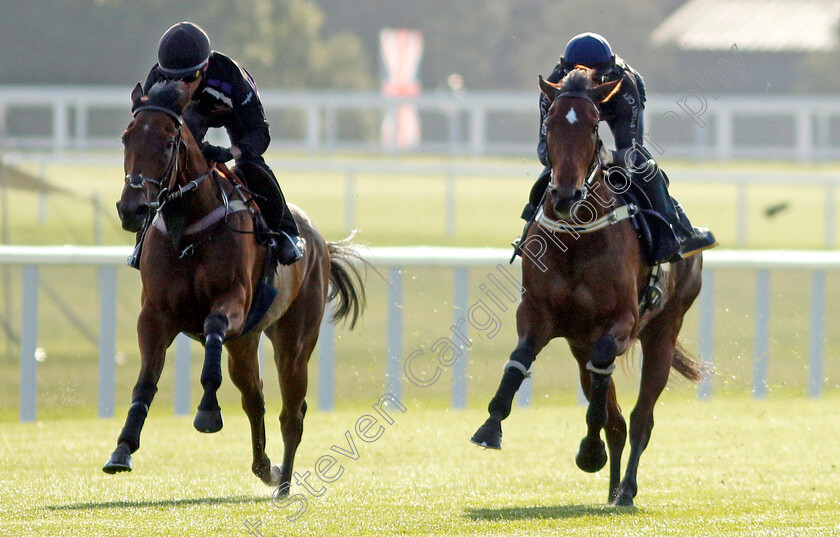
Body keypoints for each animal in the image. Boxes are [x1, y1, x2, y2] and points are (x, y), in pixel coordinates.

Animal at [103, 79, 366, 494]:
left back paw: (284, 483)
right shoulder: (156, 315)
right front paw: (123, 447)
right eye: (126, 138)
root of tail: (321, 243)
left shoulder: (235, 302)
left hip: (294, 341)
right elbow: (145, 380)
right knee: (254, 398)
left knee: (292, 413)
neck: (188, 231)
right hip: (245, 342)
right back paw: (265, 467)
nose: (132, 209)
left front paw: (208, 411)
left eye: (168, 143)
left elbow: (212, 327)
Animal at [472, 68, 708, 506]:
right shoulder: (540, 313)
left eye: (593, 126)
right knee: (614, 414)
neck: (577, 237)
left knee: (640, 417)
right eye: (549, 124)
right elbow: (519, 360)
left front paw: (589, 452)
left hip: (663, 330)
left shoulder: (621, 321)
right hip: (579, 343)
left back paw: (626, 489)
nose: (566, 195)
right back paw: (613, 488)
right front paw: (491, 425)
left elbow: (605, 399)